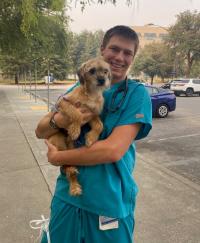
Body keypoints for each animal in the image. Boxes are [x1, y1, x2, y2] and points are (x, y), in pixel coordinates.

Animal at [48, 58, 111, 196]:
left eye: (105, 71)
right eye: (92, 71)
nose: (102, 80)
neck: (92, 94)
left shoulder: (93, 115)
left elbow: (100, 126)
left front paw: (91, 138)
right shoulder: (64, 102)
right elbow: (76, 113)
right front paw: (75, 129)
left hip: (72, 148)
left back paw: (74, 186)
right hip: (59, 142)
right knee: (64, 163)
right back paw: (71, 171)